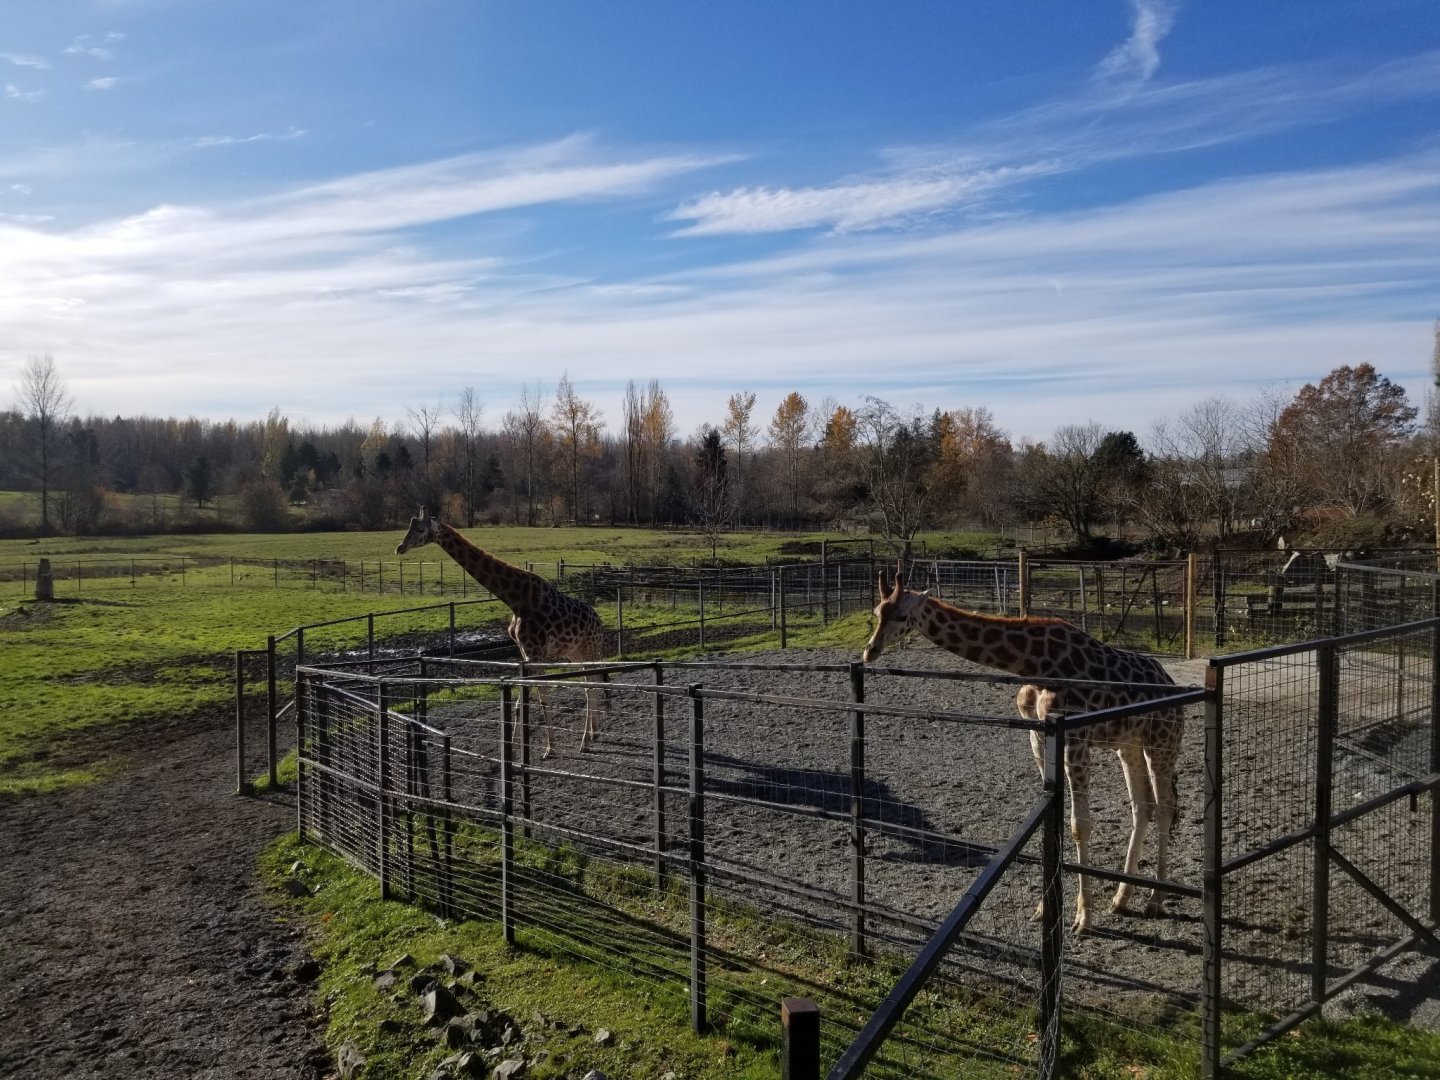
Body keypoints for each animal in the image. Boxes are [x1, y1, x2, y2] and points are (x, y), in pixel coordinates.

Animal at [395, 508, 607, 758]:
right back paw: (593, 734)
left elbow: (542, 697)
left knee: (591, 685)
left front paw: (550, 748)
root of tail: (599, 620)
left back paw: (585, 741)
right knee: (590, 683)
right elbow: (519, 703)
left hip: (590, 648)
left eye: (420, 529)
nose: (400, 547)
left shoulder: (536, 652)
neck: (516, 600)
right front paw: (513, 750)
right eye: (408, 527)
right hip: (575, 653)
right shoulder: (525, 653)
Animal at [861, 564, 1184, 933]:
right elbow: (1054, 820)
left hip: (1162, 742)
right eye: (876, 612)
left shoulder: (1076, 739)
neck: (1035, 664)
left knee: (1165, 806)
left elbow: (1080, 825)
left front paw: (1083, 917)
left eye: (901, 615)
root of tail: (1173, 684)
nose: (869, 651)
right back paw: (1121, 898)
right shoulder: (1037, 735)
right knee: (1142, 806)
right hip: (1128, 744)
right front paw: (1045, 908)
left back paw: (1155, 900)